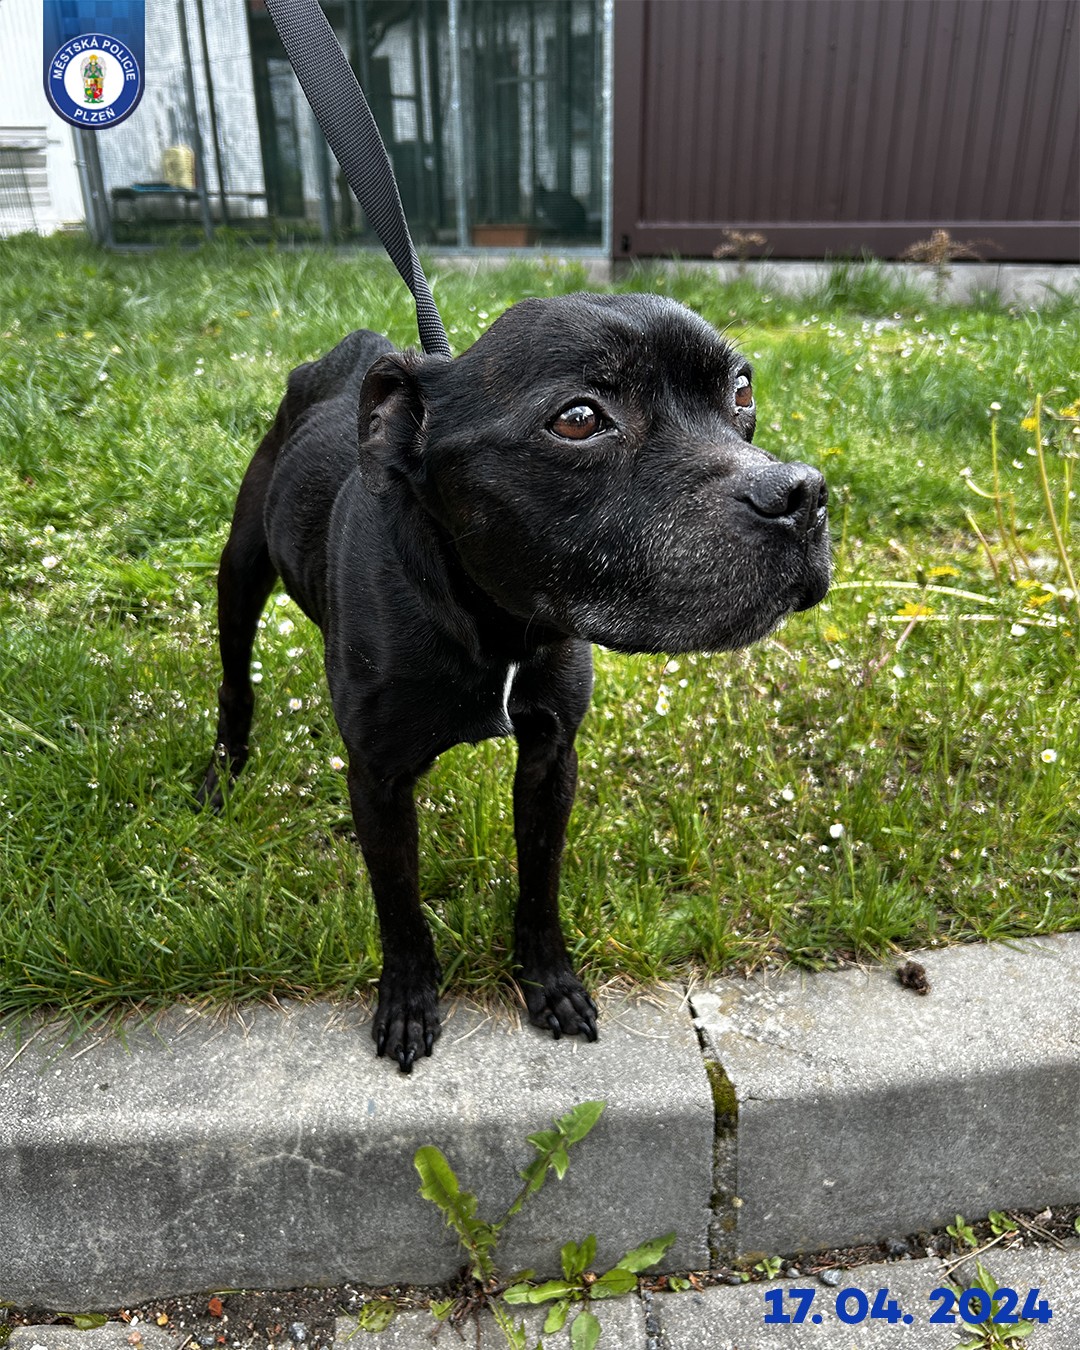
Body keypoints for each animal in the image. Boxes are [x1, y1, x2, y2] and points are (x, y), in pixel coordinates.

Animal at [198, 293, 830, 1072]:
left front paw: (549, 982)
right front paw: (408, 1001)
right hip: (241, 568)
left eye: (741, 392)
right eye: (579, 419)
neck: (495, 624)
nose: (801, 494)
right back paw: (223, 772)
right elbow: (398, 902)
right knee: (235, 680)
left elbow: (540, 881)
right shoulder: (378, 781)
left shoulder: (551, 761)